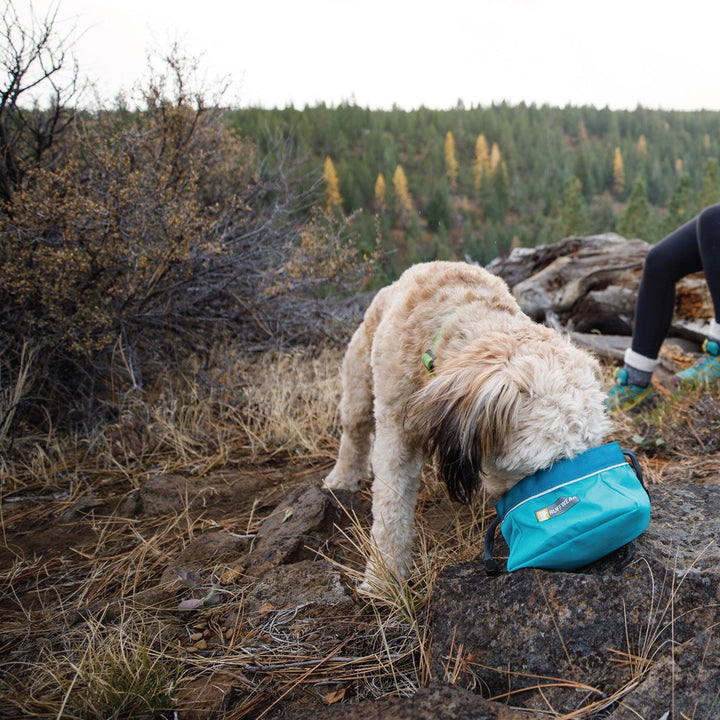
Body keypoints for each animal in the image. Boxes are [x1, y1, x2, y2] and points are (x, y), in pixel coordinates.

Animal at [324, 262, 612, 588]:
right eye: (545, 469)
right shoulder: (397, 433)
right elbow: (391, 508)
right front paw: (382, 576)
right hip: (359, 379)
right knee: (354, 430)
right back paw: (342, 478)